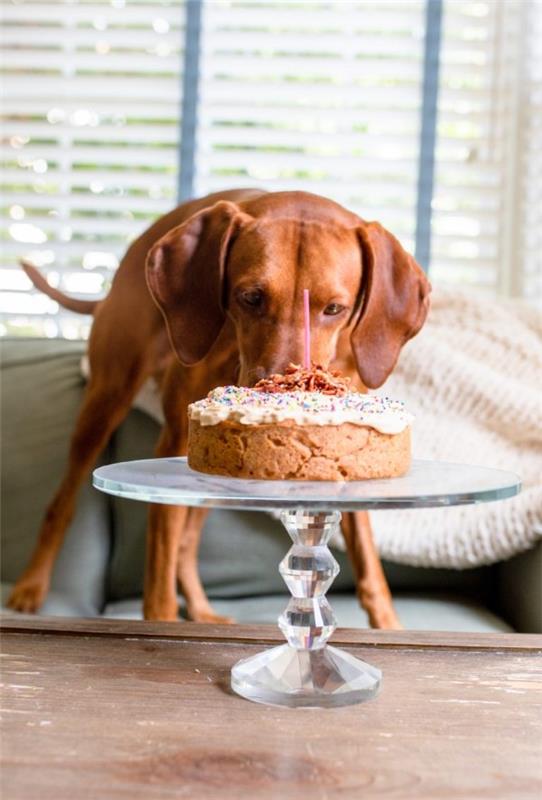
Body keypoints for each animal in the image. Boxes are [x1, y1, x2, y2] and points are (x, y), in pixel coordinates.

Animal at [7, 191, 434, 628]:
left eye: (334, 309)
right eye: (250, 297)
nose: (283, 385)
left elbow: (368, 563)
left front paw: (388, 626)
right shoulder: (172, 443)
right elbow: (159, 568)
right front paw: (160, 622)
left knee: (187, 543)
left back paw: (200, 610)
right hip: (105, 402)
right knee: (63, 504)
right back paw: (31, 586)